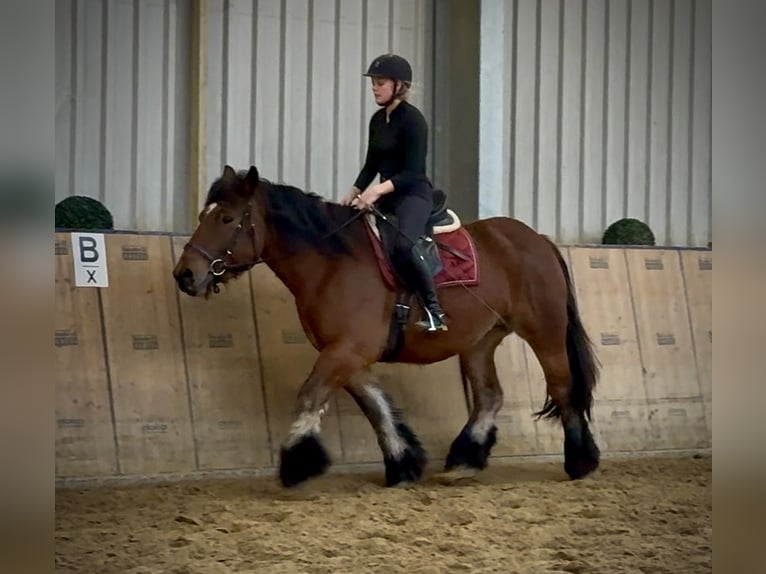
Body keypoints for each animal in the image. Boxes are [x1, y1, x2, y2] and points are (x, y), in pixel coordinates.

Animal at [172, 164, 601, 488]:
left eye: (227, 218)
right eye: (203, 215)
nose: (185, 275)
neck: (332, 262)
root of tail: (537, 239)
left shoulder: (346, 350)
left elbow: (310, 395)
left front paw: (297, 463)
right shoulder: (347, 354)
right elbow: (376, 406)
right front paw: (403, 463)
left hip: (544, 332)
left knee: (562, 387)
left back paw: (580, 461)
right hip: (480, 342)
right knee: (489, 396)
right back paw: (464, 460)